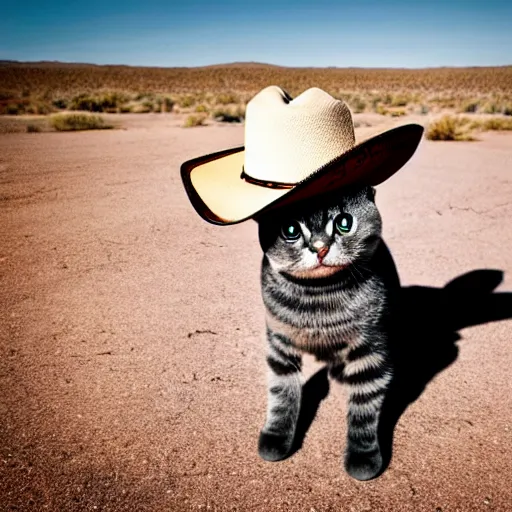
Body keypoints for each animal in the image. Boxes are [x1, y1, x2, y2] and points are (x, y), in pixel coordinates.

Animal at [256, 186, 400, 482]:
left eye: (344, 223)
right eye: (290, 229)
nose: (320, 248)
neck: (319, 300)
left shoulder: (372, 350)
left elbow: (364, 409)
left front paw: (363, 456)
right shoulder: (279, 343)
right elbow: (281, 393)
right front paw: (276, 436)